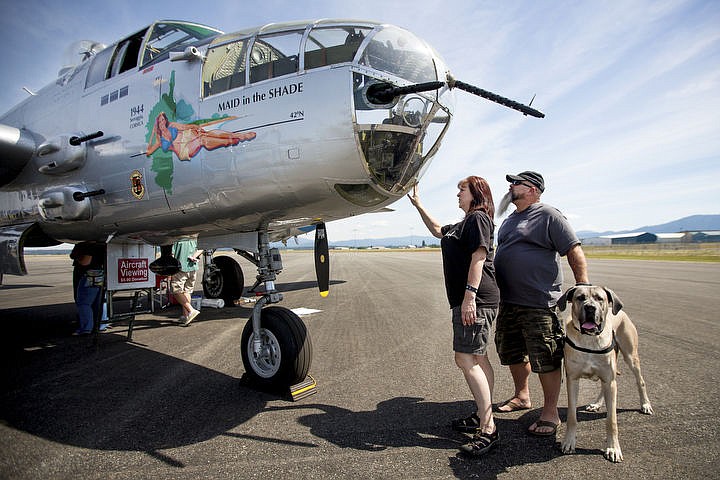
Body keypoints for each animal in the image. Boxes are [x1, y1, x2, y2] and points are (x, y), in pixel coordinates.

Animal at [556, 284, 652, 462]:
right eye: (580, 297)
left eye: (599, 298)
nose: (590, 308)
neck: (589, 339)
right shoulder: (573, 380)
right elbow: (572, 416)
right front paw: (569, 442)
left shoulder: (610, 381)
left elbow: (611, 420)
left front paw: (613, 448)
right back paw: (596, 403)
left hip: (631, 357)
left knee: (640, 381)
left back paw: (645, 404)